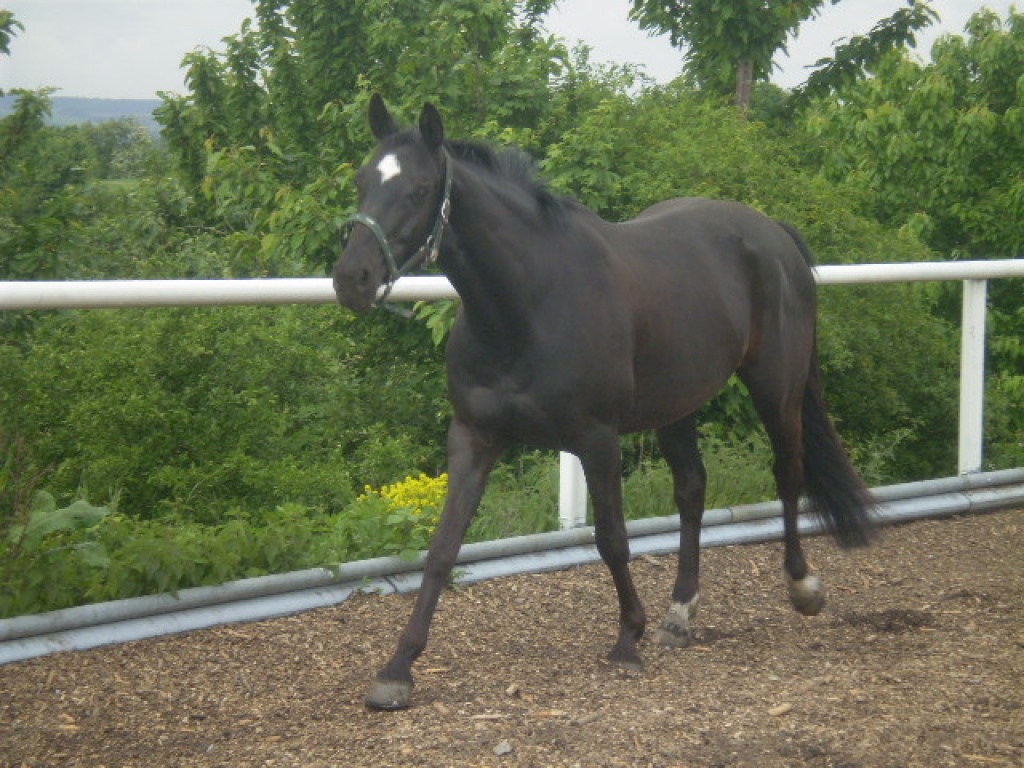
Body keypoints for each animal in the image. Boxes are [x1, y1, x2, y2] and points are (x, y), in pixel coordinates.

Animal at [333, 95, 874, 711]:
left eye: (419, 189)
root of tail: (773, 232)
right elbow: (443, 549)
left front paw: (627, 638)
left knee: (788, 472)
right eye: (362, 180)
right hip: (678, 406)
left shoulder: (595, 439)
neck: (527, 303)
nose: (351, 279)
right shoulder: (473, 437)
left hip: (775, 387)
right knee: (692, 489)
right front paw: (398, 668)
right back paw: (680, 614)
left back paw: (802, 586)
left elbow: (612, 539)